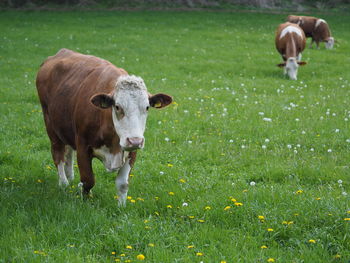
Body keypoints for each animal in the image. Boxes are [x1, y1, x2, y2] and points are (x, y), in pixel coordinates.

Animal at [36, 49, 172, 206]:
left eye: (147, 107)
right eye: (117, 106)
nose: (135, 141)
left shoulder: (131, 152)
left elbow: (122, 184)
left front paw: (121, 207)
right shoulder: (83, 146)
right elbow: (88, 180)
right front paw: (84, 200)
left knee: (68, 151)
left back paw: (69, 176)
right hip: (50, 124)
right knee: (58, 153)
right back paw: (63, 183)